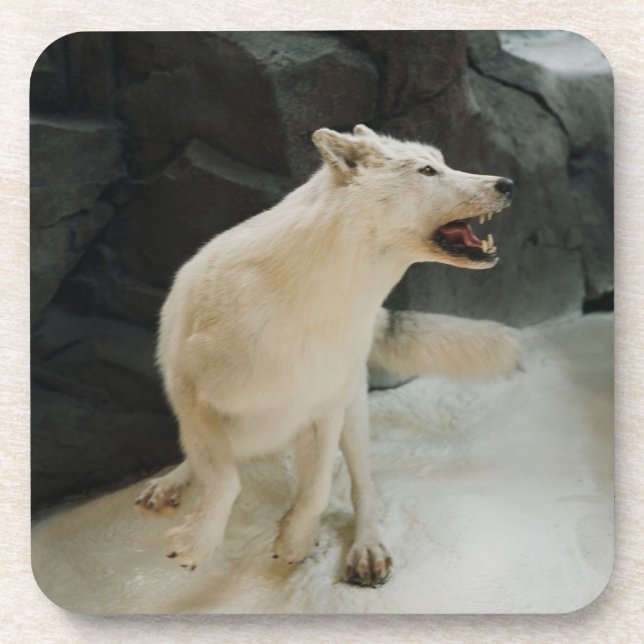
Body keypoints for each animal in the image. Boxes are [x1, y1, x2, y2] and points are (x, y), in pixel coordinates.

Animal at [135, 125, 518, 587]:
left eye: (442, 163)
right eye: (428, 171)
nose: (507, 184)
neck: (314, 310)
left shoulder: (325, 410)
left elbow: (316, 490)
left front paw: (295, 540)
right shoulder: (191, 395)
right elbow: (224, 479)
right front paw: (197, 542)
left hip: (353, 415)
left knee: (363, 488)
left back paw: (366, 548)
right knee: (206, 458)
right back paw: (170, 485)